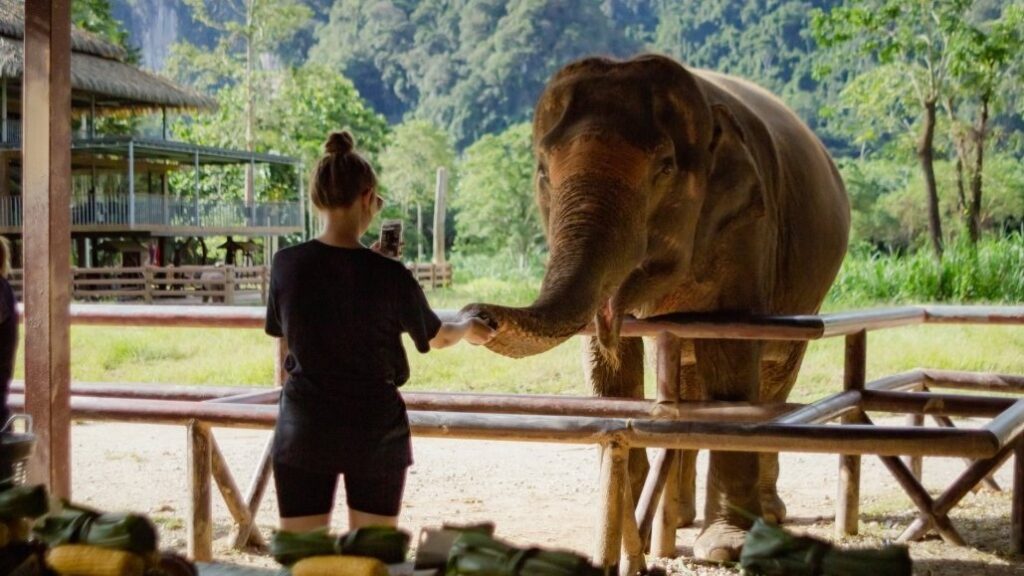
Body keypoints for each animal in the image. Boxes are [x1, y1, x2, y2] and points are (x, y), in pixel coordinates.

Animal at [460, 54, 851, 561]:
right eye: (544, 171)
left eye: (664, 169)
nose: (476, 316)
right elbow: (612, 373)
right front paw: (637, 536)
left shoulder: (748, 228)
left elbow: (731, 355)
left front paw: (722, 548)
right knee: (688, 378)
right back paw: (680, 517)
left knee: (773, 382)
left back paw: (767, 518)